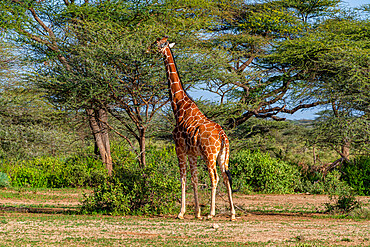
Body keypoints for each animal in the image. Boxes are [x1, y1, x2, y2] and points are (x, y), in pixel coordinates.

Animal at [155, 36, 236, 220]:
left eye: (160, 43)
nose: (151, 48)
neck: (178, 106)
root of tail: (222, 135)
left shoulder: (179, 147)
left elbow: (183, 178)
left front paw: (181, 212)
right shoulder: (192, 152)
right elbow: (194, 179)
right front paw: (197, 212)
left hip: (209, 154)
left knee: (215, 178)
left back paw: (211, 213)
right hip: (223, 155)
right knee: (226, 176)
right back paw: (232, 214)